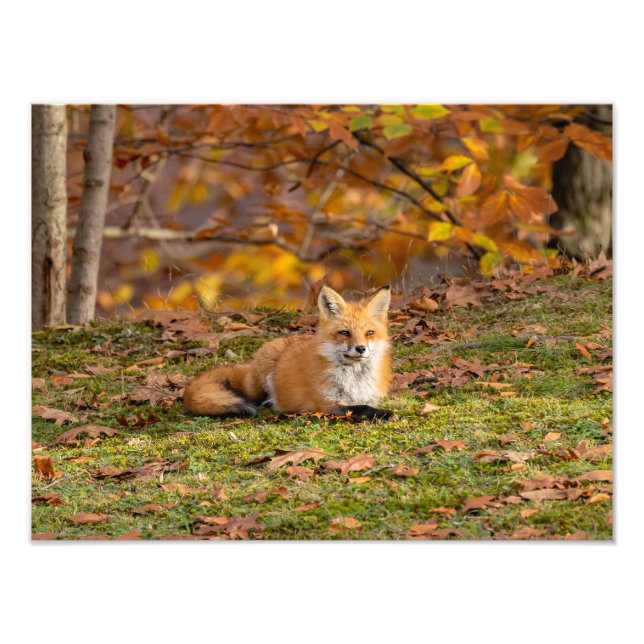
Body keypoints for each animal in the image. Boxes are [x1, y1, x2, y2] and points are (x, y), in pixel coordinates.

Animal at [183, 285, 394, 421]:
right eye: (344, 333)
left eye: (369, 333)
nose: (361, 348)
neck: (354, 379)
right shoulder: (327, 403)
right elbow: (360, 408)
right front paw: (384, 414)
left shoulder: (372, 395)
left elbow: (365, 404)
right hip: (262, 376)